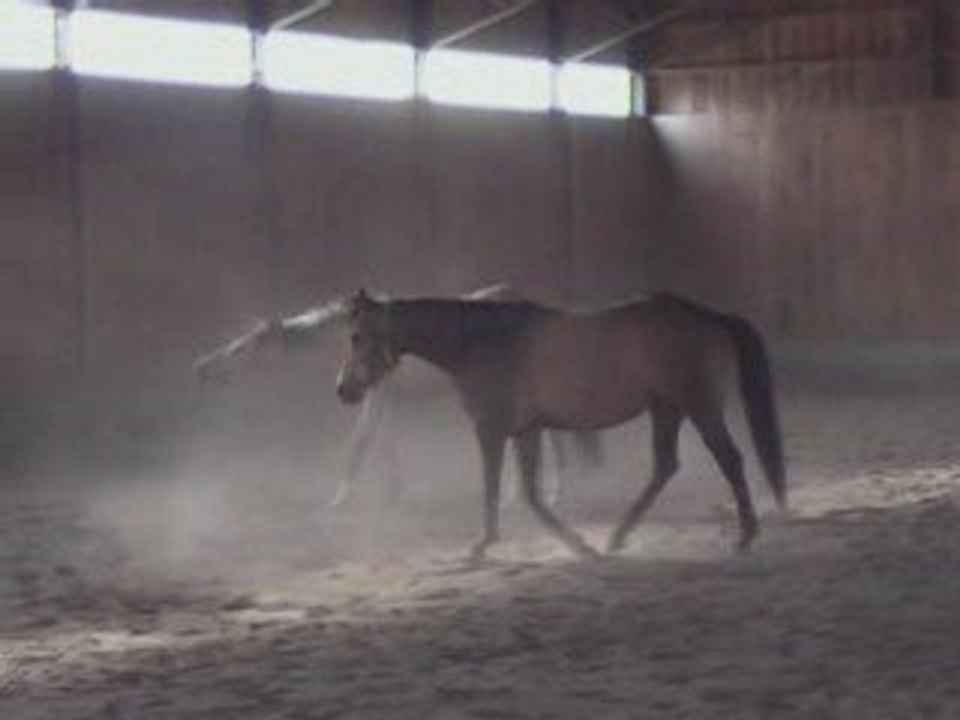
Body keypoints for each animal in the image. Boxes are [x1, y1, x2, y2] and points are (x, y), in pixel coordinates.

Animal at [194, 284, 602, 508]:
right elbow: (381, 444)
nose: (202, 368)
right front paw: (391, 492)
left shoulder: (375, 399)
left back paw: (540, 494)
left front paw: (339, 500)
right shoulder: (383, 401)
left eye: (242, 350)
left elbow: (358, 446)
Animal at [335, 289, 786, 560]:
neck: (483, 341)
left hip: (699, 406)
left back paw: (746, 535)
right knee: (664, 466)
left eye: (356, 336)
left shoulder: (492, 430)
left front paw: (483, 544)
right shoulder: (527, 430)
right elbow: (531, 495)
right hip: (666, 409)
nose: (343, 390)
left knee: (729, 460)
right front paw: (580, 545)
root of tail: (709, 316)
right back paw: (618, 536)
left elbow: (493, 487)